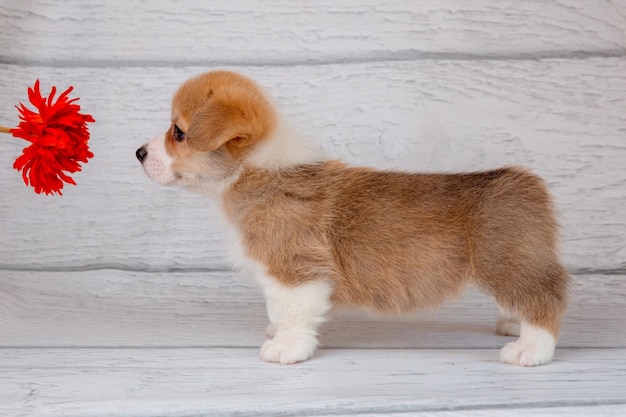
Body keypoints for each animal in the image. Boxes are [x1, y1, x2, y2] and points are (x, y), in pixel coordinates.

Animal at [136, 72, 564, 368]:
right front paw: (277, 332)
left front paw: (285, 347)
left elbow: (291, 312)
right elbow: (276, 310)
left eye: (178, 132)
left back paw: (530, 348)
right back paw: (513, 323)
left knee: (548, 296)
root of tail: (525, 182)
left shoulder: (295, 272)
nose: (139, 153)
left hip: (503, 262)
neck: (256, 170)